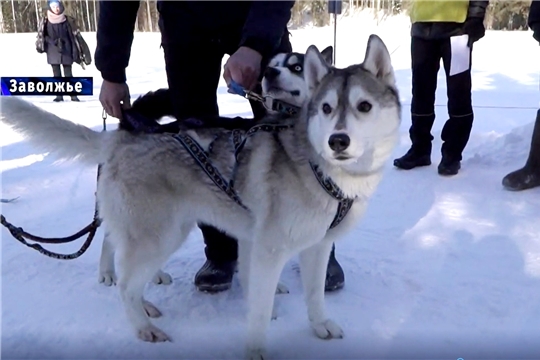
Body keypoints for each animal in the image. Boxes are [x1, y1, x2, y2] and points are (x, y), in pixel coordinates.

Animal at [1, 35, 400, 358]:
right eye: (327, 108)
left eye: (364, 106)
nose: (338, 141)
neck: (315, 164)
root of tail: (124, 137)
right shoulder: (268, 248)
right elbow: (259, 306)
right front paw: (256, 350)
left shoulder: (314, 246)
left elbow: (314, 294)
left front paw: (319, 326)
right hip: (161, 234)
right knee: (126, 281)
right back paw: (141, 322)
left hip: (163, 229)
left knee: (120, 254)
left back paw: (142, 301)